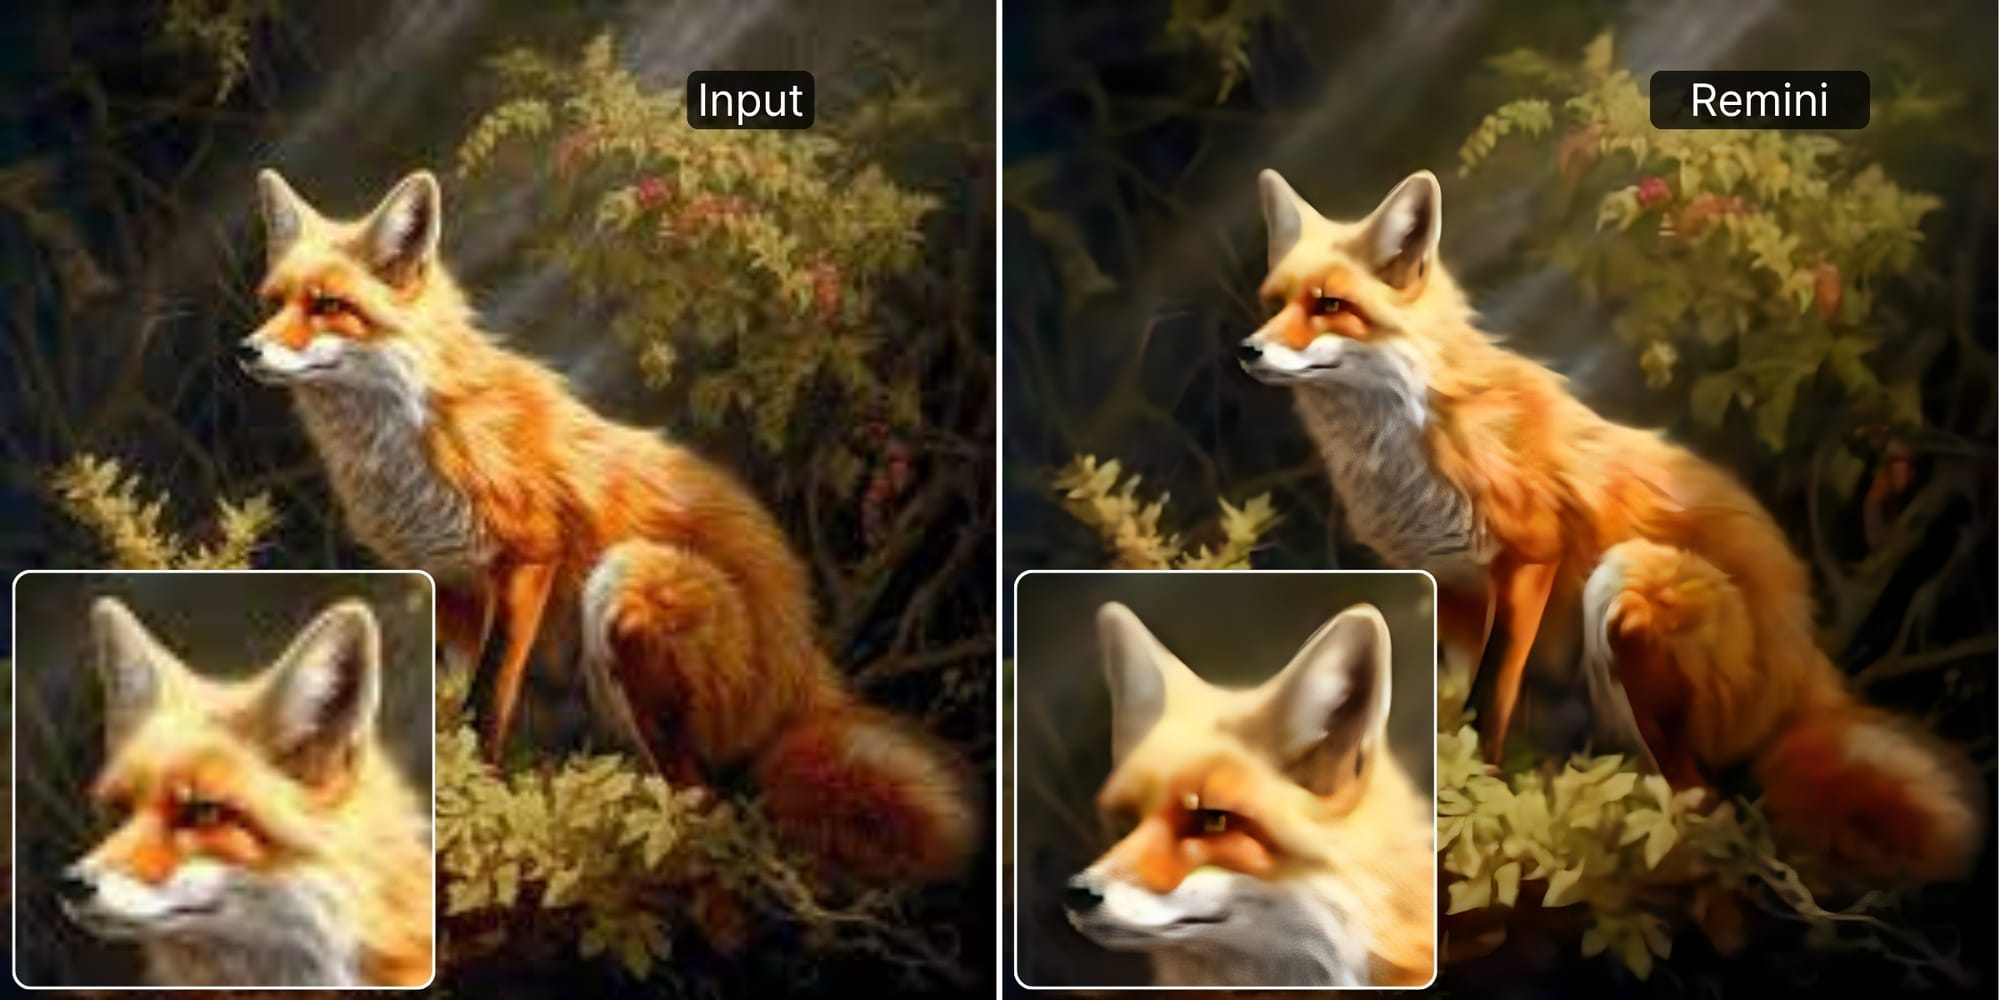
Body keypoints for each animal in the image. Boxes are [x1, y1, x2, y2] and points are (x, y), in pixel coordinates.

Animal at [237, 169, 972, 883]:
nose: (247, 351)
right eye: (272, 302)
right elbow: (468, 698)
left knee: (704, 796)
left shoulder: (529, 554)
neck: (412, 437)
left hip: (627, 583)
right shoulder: (448, 586)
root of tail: (804, 658)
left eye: (328, 305)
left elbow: (487, 701)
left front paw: (471, 796)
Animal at [1238, 167, 1983, 886]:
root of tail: (1807, 658)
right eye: (1275, 303)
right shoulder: (1451, 589)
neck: (1411, 441)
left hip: (1626, 582)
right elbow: (1466, 698)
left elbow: (1488, 702)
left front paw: (1476, 795)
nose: (1248, 351)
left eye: (1329, 306)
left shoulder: (1529, 554)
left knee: (1703, 793)